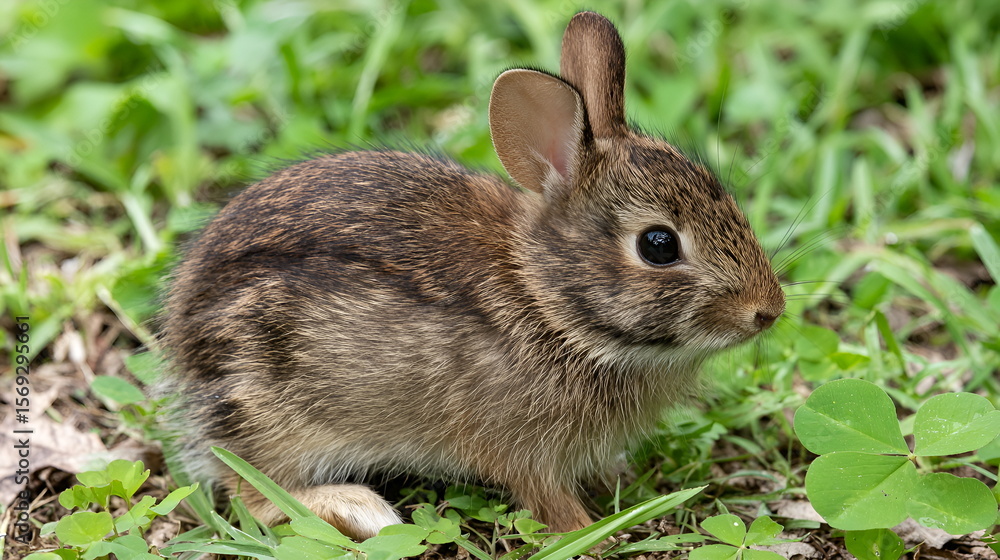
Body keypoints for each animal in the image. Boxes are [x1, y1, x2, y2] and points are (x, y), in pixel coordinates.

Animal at [159, 11, 785, 541]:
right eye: (659, 245)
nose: (767, 311)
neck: (549, 301)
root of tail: (182, 343)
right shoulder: (519, 448)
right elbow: (545, 499)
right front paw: (592, 533)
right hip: (276, 411)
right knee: (250, 491)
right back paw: (358, 508)